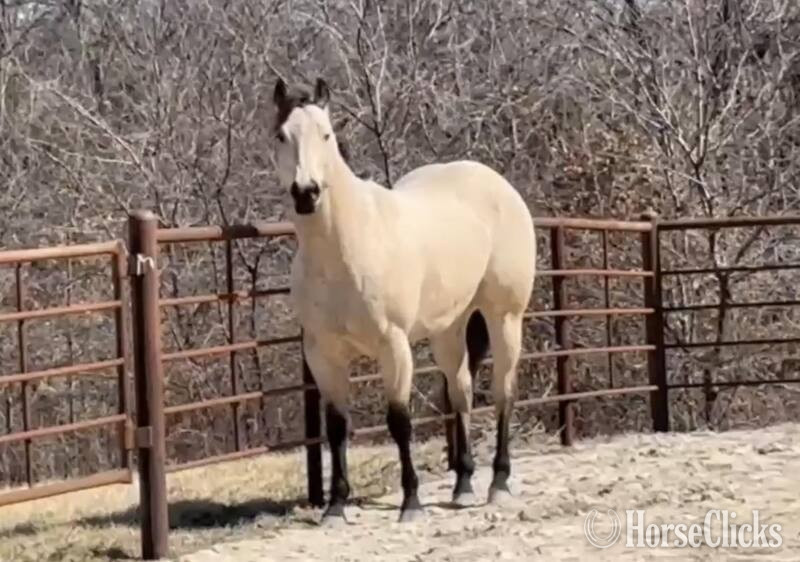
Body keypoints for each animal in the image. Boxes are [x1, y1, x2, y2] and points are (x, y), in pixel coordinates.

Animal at [270, 77, 537, 523]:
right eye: (281, 135)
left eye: (326, 135)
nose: (306, 193)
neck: (347, 245)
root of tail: (497, 184)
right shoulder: (323, 353)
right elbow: (336, 426)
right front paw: (336, 506)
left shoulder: (392, 345)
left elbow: (399, 421)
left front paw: (410, 502)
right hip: (450, 327)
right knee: (461, 391)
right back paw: (463, 485)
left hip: (504, 316)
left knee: (504, 391)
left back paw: (499, 482)